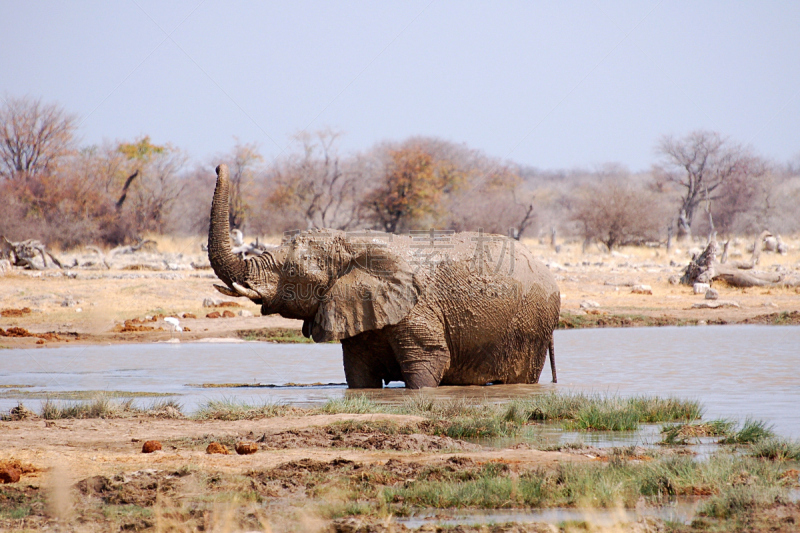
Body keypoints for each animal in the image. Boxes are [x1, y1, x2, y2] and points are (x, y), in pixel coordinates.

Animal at [206, 162, 560, 386]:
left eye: (291, 270)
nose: (218, 166)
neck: (351, 244)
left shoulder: (418, 309)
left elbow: (428, 366)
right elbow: (359, 376)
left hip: (531, 327)